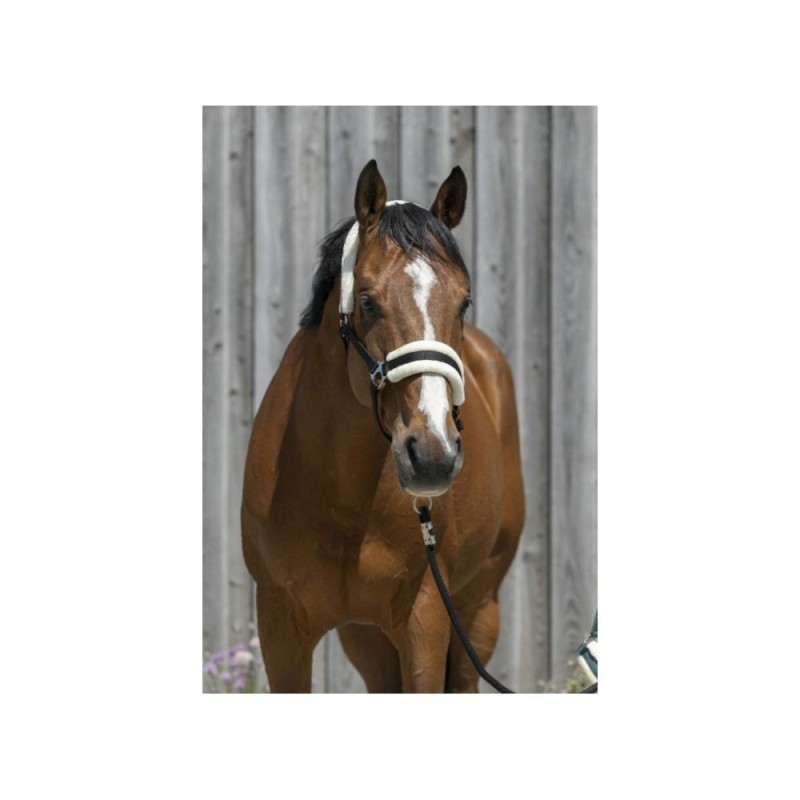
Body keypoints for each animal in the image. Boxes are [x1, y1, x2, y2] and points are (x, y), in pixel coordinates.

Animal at [241, 160, 525, 692]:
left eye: (464, 302)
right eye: (368, 301)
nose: (432, 456)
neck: (342, 500)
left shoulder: (426, 619)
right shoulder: (280, 626)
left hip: (477, 612)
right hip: (366, 638)